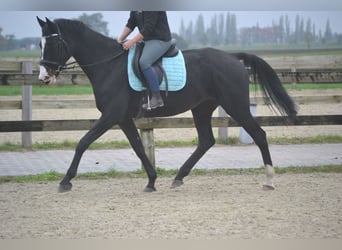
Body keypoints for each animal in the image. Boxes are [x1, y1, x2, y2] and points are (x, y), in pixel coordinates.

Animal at [37, 17, 296, 192]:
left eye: (52, 44)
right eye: (40, 44)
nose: (44, 77)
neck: (109, 65)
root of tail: (232, 57)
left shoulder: (111, 116)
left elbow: (83, 142)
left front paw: (65, 181)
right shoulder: (123, 118)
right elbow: (138, 147)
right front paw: (152, 181)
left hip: (236, 106)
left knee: (259, 135)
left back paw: (269, 180)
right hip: (202, 108)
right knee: (206, 141)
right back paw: (179, 176)